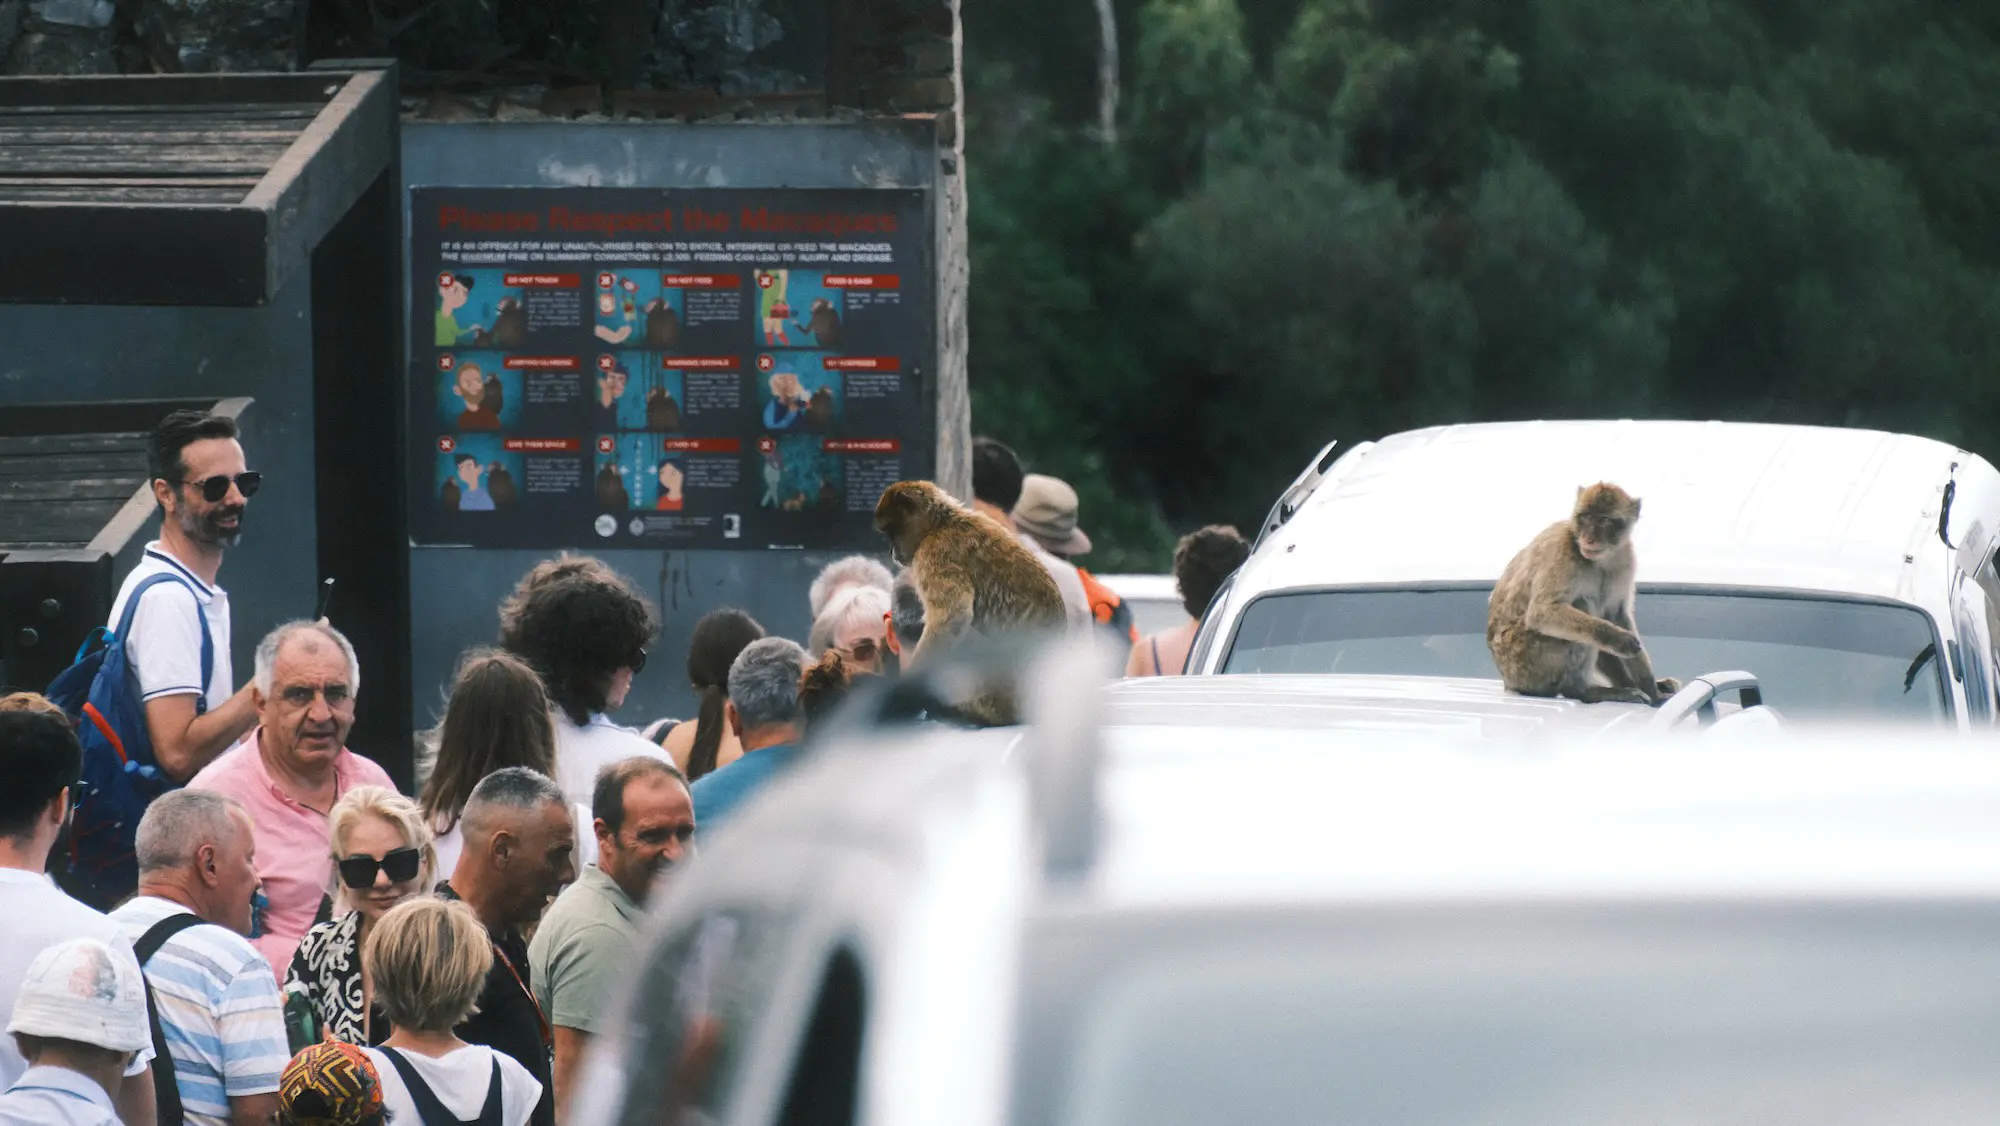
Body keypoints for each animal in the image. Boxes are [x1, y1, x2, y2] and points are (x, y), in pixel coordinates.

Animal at [1480, 482, 1680, 704]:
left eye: (1603, 520)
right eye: (1585, 517)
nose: (1588, 538)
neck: (1600, 560)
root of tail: (1508, 682)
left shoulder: (1625, 559)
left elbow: (1616, 615)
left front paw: (1651, 688)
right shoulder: (1561, 551)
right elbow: (1541, 613)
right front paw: (1619, 640)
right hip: (1526, 661)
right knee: (1584, 605)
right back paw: (1580, 690)